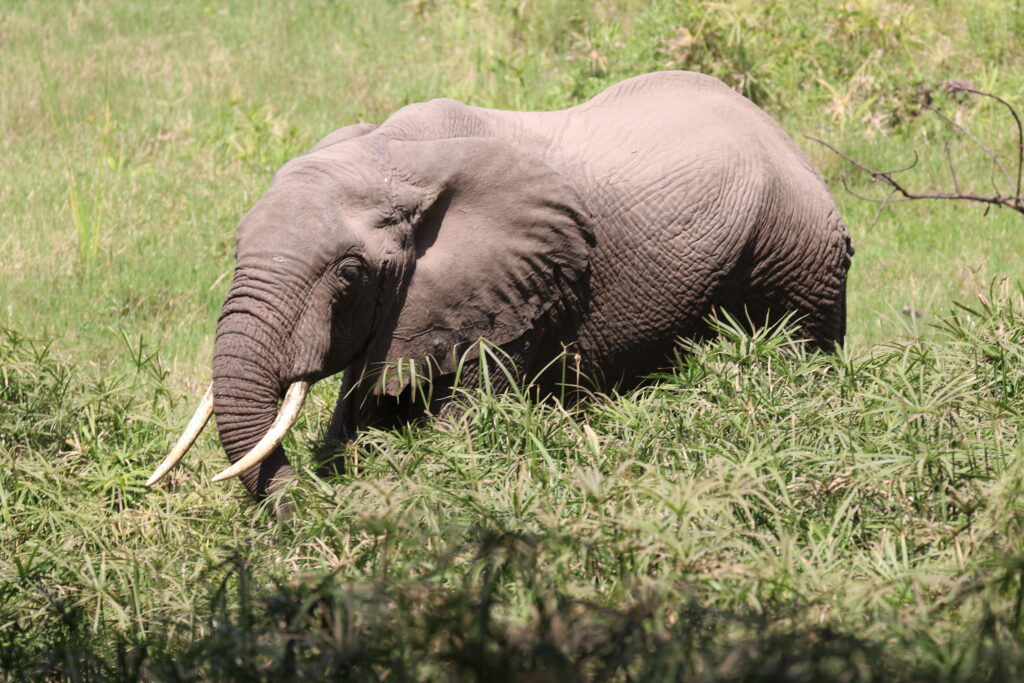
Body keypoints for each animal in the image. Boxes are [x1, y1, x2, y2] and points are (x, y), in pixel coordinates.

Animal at [148, 70, 851, 501]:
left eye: (349, 274)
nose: (307, 506)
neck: (393, 155)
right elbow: (363, 405)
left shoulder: (518, 292)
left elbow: (459, 423)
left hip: (798, 264)